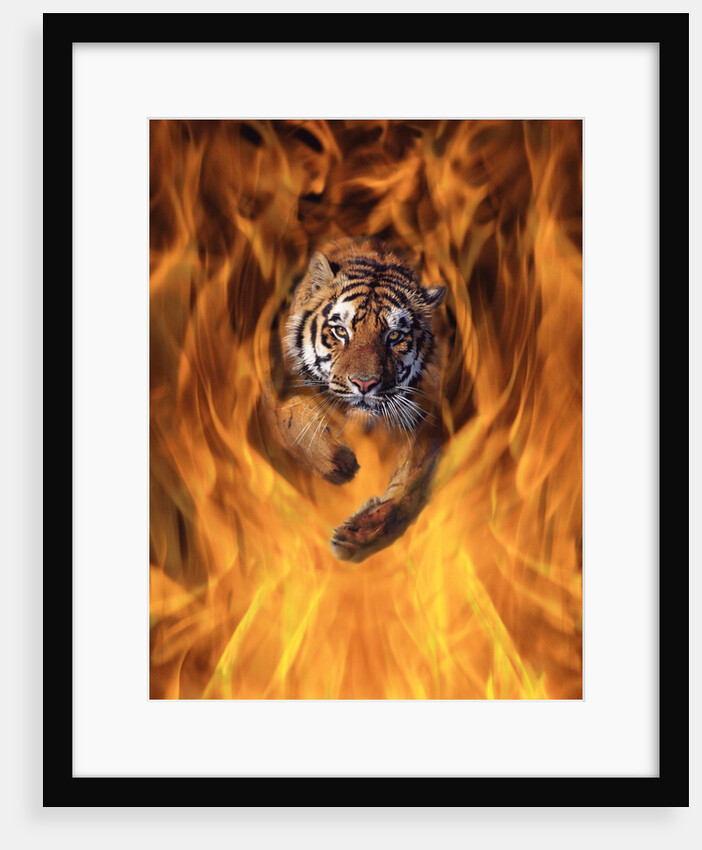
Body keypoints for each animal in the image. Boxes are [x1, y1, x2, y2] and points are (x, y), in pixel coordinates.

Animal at [261, 237, 446, 563]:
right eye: (340, 331)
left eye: (394, 336)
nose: (365, 384)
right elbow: (292, 416)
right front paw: (338, 463)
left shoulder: (424, 416)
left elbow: (412, 483)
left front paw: (361, 534)